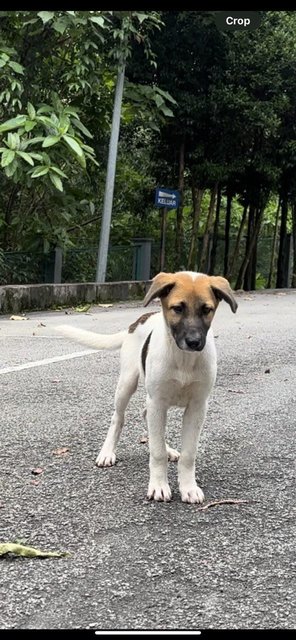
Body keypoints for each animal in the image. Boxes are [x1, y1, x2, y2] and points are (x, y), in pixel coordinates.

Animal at [56, 272, 238, 502]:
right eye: (178, 308)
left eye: (207, 309)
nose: (194, 342)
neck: (183, 360)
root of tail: (138, 321)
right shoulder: (158, 402)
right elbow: (156, 452)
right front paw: (159, 485)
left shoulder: (197, 406)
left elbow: (188, 454)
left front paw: (188, 487)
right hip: (127, 384)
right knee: (118, 418)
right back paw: (107, 452)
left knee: (146, 415)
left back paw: (169, 450)